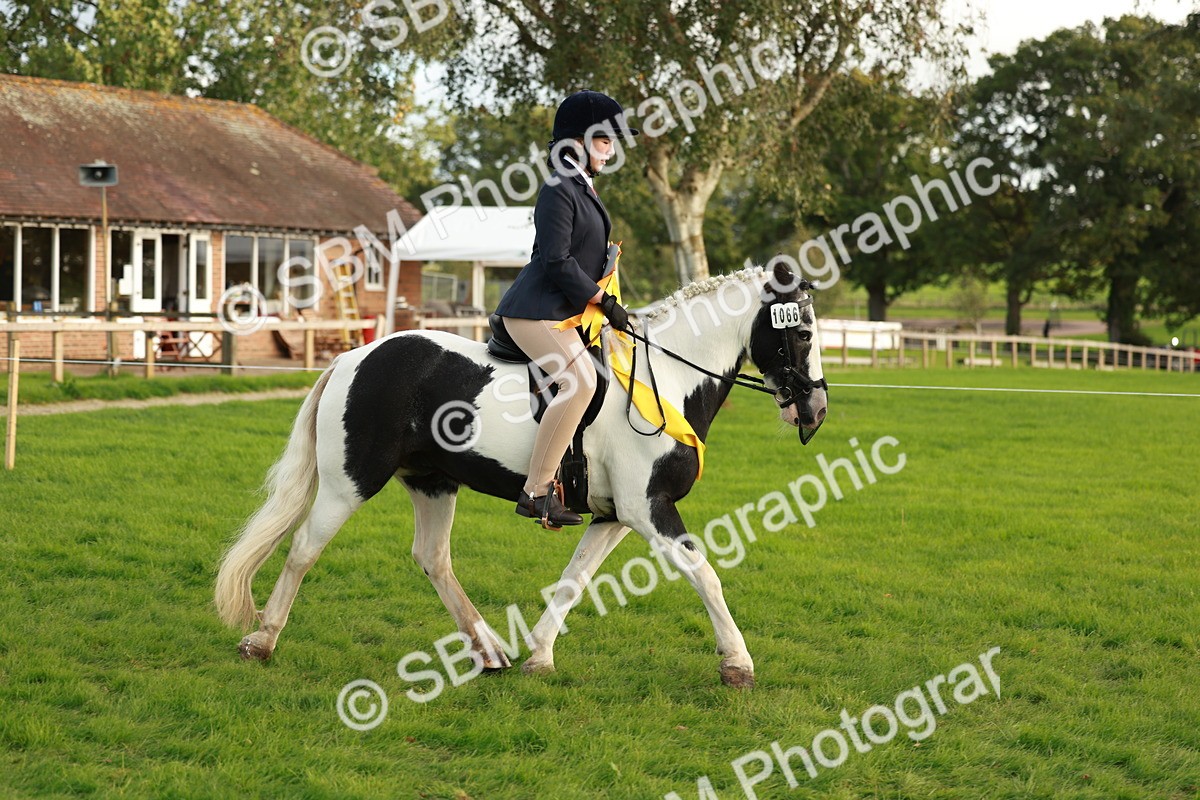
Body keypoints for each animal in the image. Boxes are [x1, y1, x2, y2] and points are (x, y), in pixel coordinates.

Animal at [214, 262, 828, 688]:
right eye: (801, 334)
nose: (816, 412)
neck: (666, 379)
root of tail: (352, 357)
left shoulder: (613, 516)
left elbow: (574, 580)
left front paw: (539, 656)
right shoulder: (649, 508)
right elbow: (706, 575)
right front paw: (738, 664)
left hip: (433, 481)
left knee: (432, 558)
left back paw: (489, 650)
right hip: (351, 482)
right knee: (303, 549)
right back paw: (261, 641)